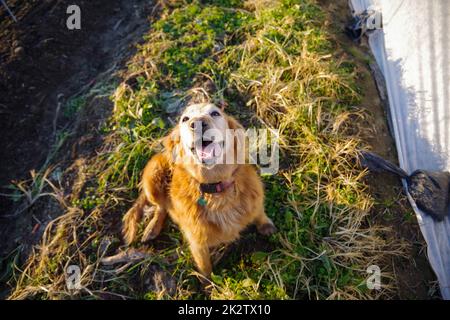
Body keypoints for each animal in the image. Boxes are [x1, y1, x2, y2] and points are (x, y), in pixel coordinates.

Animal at [122, 103, 274, 278]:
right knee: (161, 207)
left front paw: (266, 225)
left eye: (215, 113)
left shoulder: (255, 201)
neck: (216, 188)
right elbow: (204, 267)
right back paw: (152, 228)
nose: (197, 123)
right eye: (185, 119)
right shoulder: (197, 241)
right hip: (153, 174)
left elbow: (259, 213)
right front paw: (208, 283)